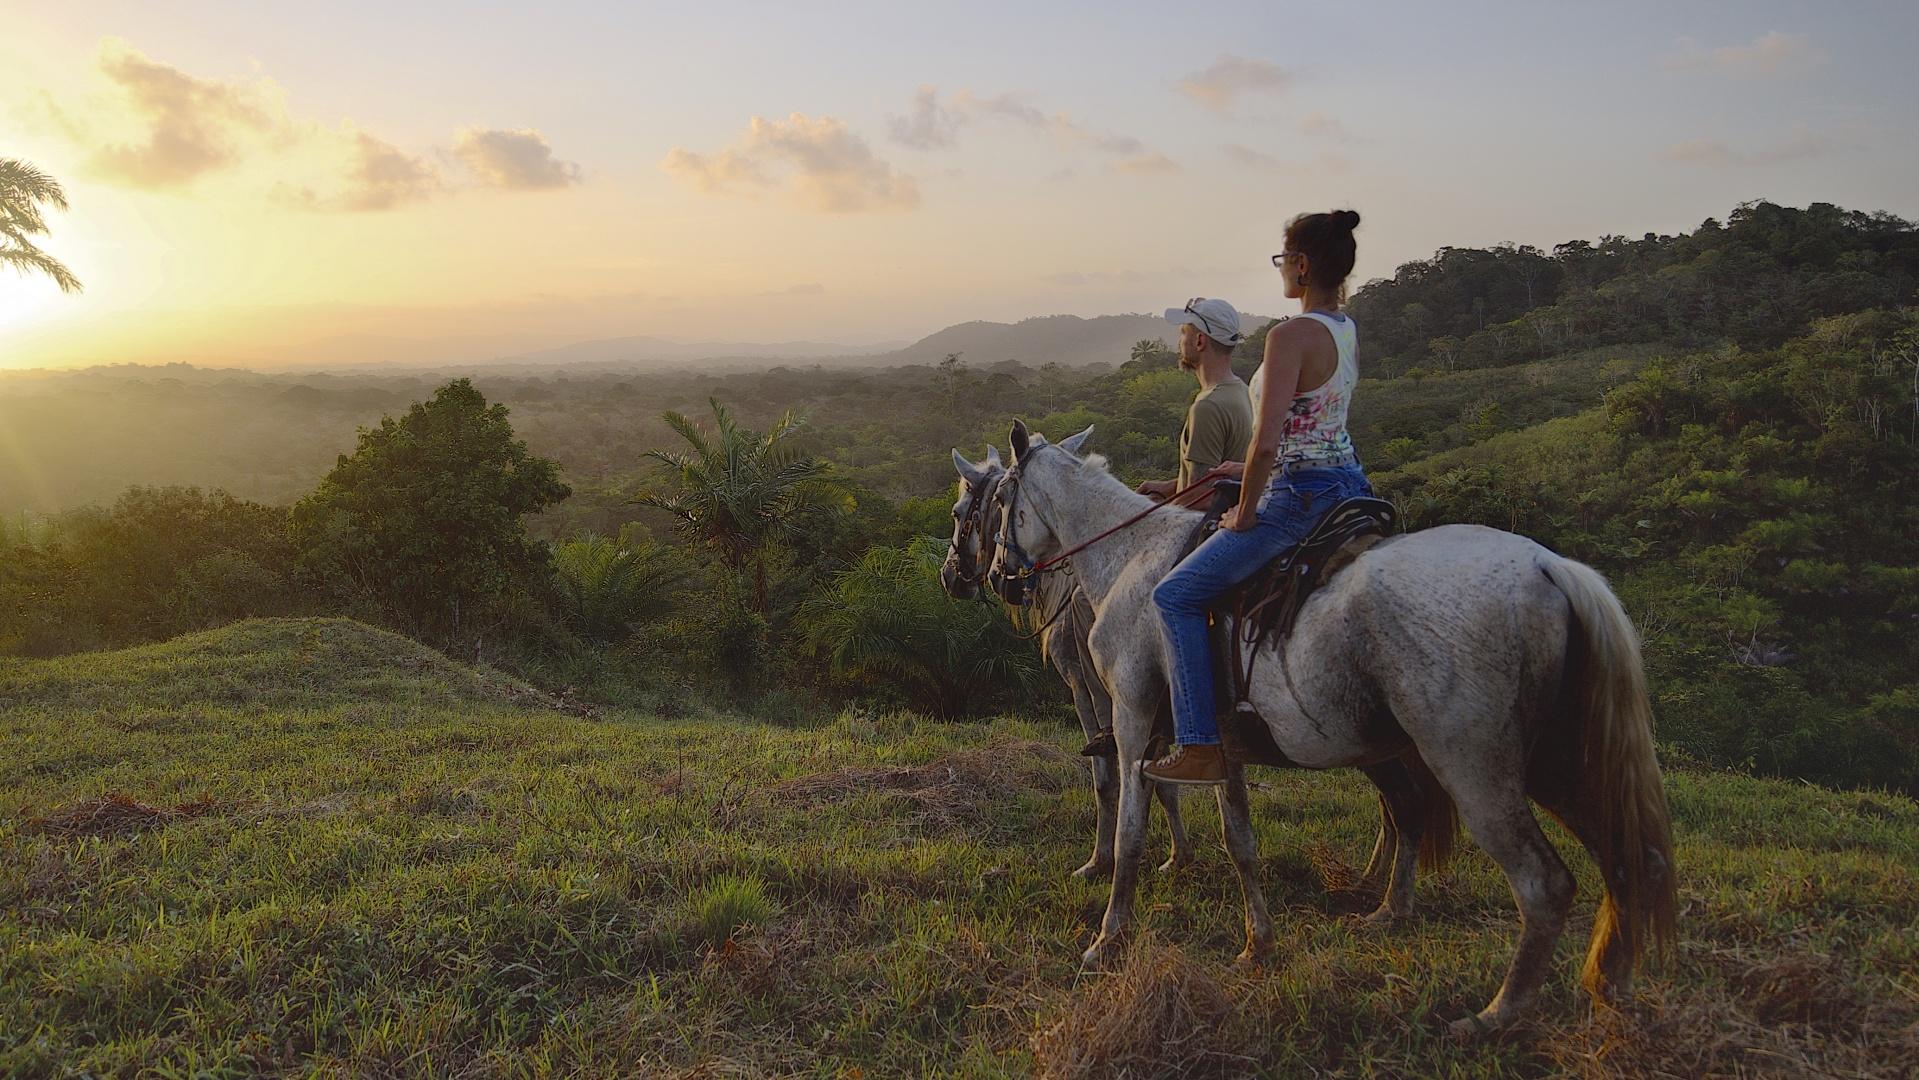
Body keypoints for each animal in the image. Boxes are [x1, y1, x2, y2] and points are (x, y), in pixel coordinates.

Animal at [982, 420, 1673, 1028]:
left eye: (1000, 502)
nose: (998, 577)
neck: (1129, 557)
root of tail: (1549, 567)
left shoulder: (1130, 717)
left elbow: (1130, 830)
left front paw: (1109, 938)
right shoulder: (1217, 744)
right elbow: (1241, 842)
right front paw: (1258, 944)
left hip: (1477, 772)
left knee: (1543, 883)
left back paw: (1499, 1015)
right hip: (1562, 765)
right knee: (1625, 862)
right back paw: (1604, 982)